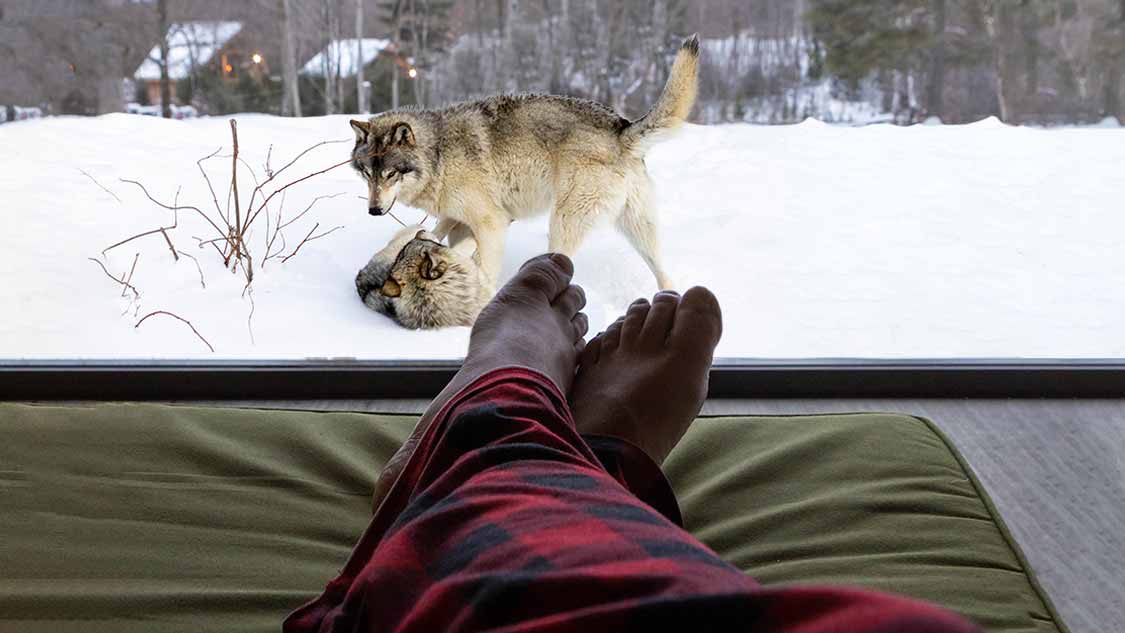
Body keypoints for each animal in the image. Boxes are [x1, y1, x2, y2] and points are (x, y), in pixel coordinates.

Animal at [346, 34, 697, 292]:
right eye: (367, 174)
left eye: (391, 173)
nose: (373, 210)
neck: (439, 156)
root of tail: (621, 127)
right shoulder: (460, 215)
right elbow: (435, 230)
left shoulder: (492, 222)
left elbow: (484, 269)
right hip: (638, 229)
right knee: (663, 272)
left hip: (562, 224)